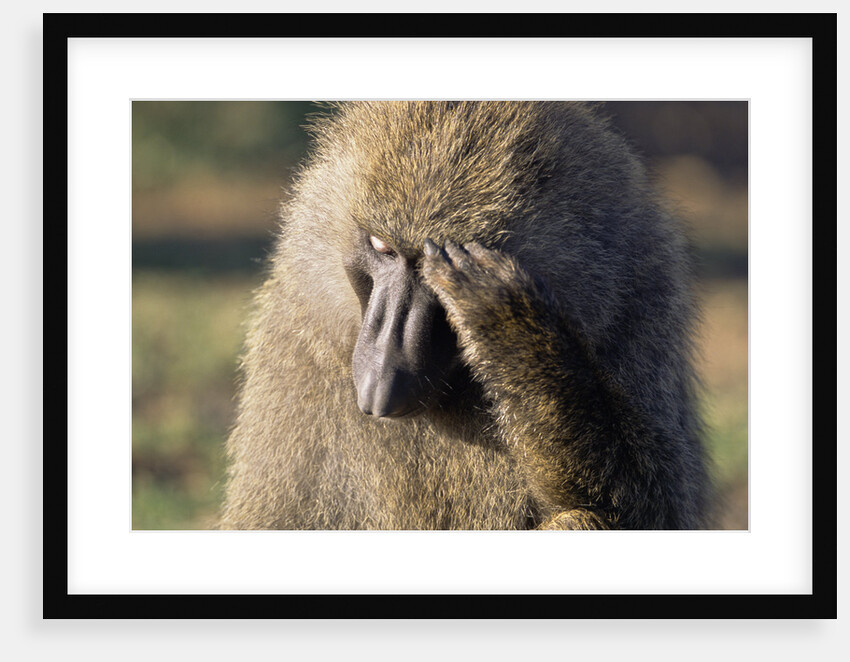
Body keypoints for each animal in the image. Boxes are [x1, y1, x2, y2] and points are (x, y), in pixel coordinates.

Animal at [218, 101, 712, 530]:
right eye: (383, 247)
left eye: (437, 260)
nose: (383, 378)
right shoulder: (298, 335)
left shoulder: (640, 292)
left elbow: (658, 510)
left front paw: (506, 321)